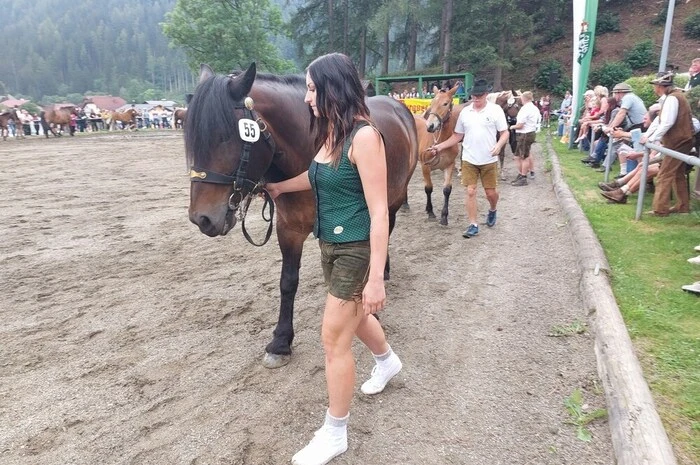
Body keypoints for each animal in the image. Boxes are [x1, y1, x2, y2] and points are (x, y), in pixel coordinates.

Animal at [185, 63, 418, 369]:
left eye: (225, 137)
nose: (202, 218)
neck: (310, 150)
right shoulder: (289, 229)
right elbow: (288, 282)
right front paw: (281, 341)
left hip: (393, 198)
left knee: (386, 231)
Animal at [414, 83, 466, 225]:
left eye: (446, 103)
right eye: (432, 102)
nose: (430, 126)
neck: (441, 142)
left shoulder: (449, 166)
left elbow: (447, 190)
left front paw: (444, 216)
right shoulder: (425, 166)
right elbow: (428, 188)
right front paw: (430, 212)